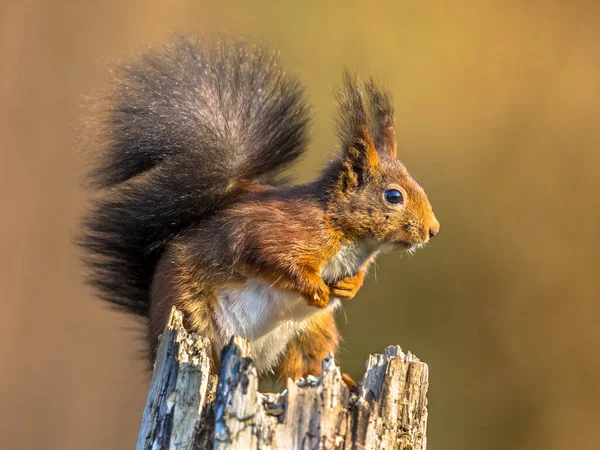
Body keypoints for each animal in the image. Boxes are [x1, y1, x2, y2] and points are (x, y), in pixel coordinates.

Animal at [79, 35, 438, 388]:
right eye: (394, 196)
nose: (432, 230)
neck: (348, 236)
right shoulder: (281, 232)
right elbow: (274, 258)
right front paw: (316, 289)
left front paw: (350, 286)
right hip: (192, 317)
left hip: (310, 333)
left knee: (300, 367)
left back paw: (342, 381)